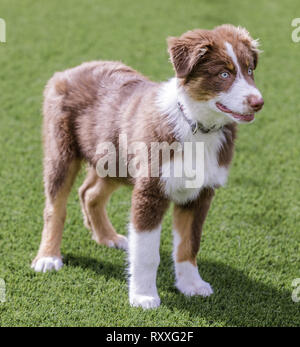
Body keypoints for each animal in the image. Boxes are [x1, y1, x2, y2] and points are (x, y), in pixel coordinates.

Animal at [31, 24, 264, 310]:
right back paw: (48, 257)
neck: (197, 126)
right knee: (55, 207)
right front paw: (143, 296)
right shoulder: (150, 190)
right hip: (62, 151)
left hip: (116, 160)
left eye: (250, 70)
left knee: (89, 193)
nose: (258, 102)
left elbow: (189, 244)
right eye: (224, 74)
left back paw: (107, 237)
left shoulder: (200, 193)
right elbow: (146, 252)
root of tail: (69, 70)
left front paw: (191, 285)